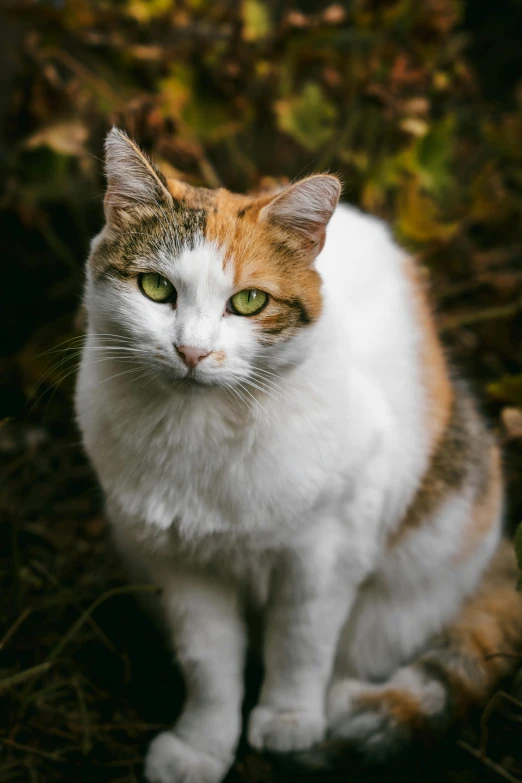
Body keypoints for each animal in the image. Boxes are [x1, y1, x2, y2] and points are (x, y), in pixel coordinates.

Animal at [75, 125, 520, 780]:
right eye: (156, 288)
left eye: (249, 302)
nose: (192, 352)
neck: (202, 431)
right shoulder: (180, 566)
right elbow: (208, 663)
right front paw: (202, 745)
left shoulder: (327, 553)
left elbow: (301, 641)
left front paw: (288, 720)